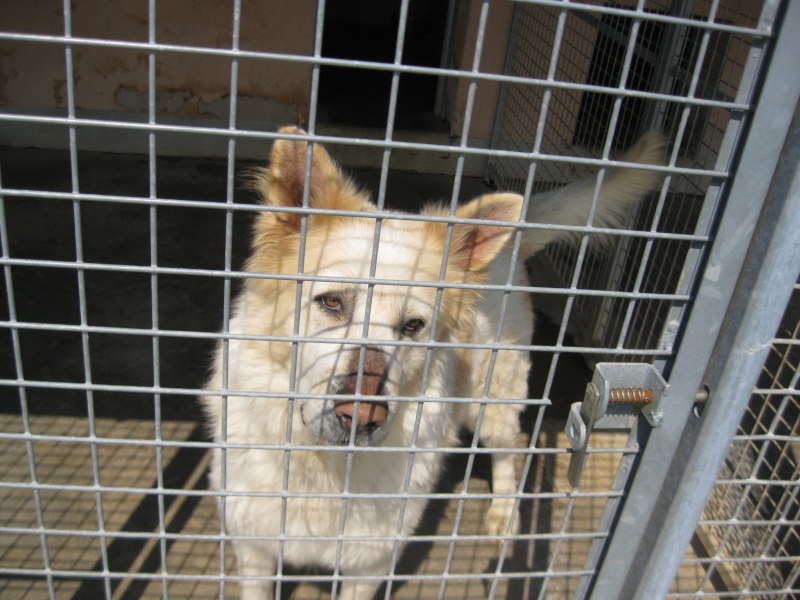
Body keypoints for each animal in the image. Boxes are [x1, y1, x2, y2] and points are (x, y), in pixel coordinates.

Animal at [203, 124, 664, 596]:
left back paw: (503, 514)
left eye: (413, 325)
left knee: (507, 450)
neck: (325, 467)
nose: (362, 416)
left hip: (492, 406)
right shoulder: (255, 552)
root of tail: (510, 246)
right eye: (331, 302)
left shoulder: (369, 565)